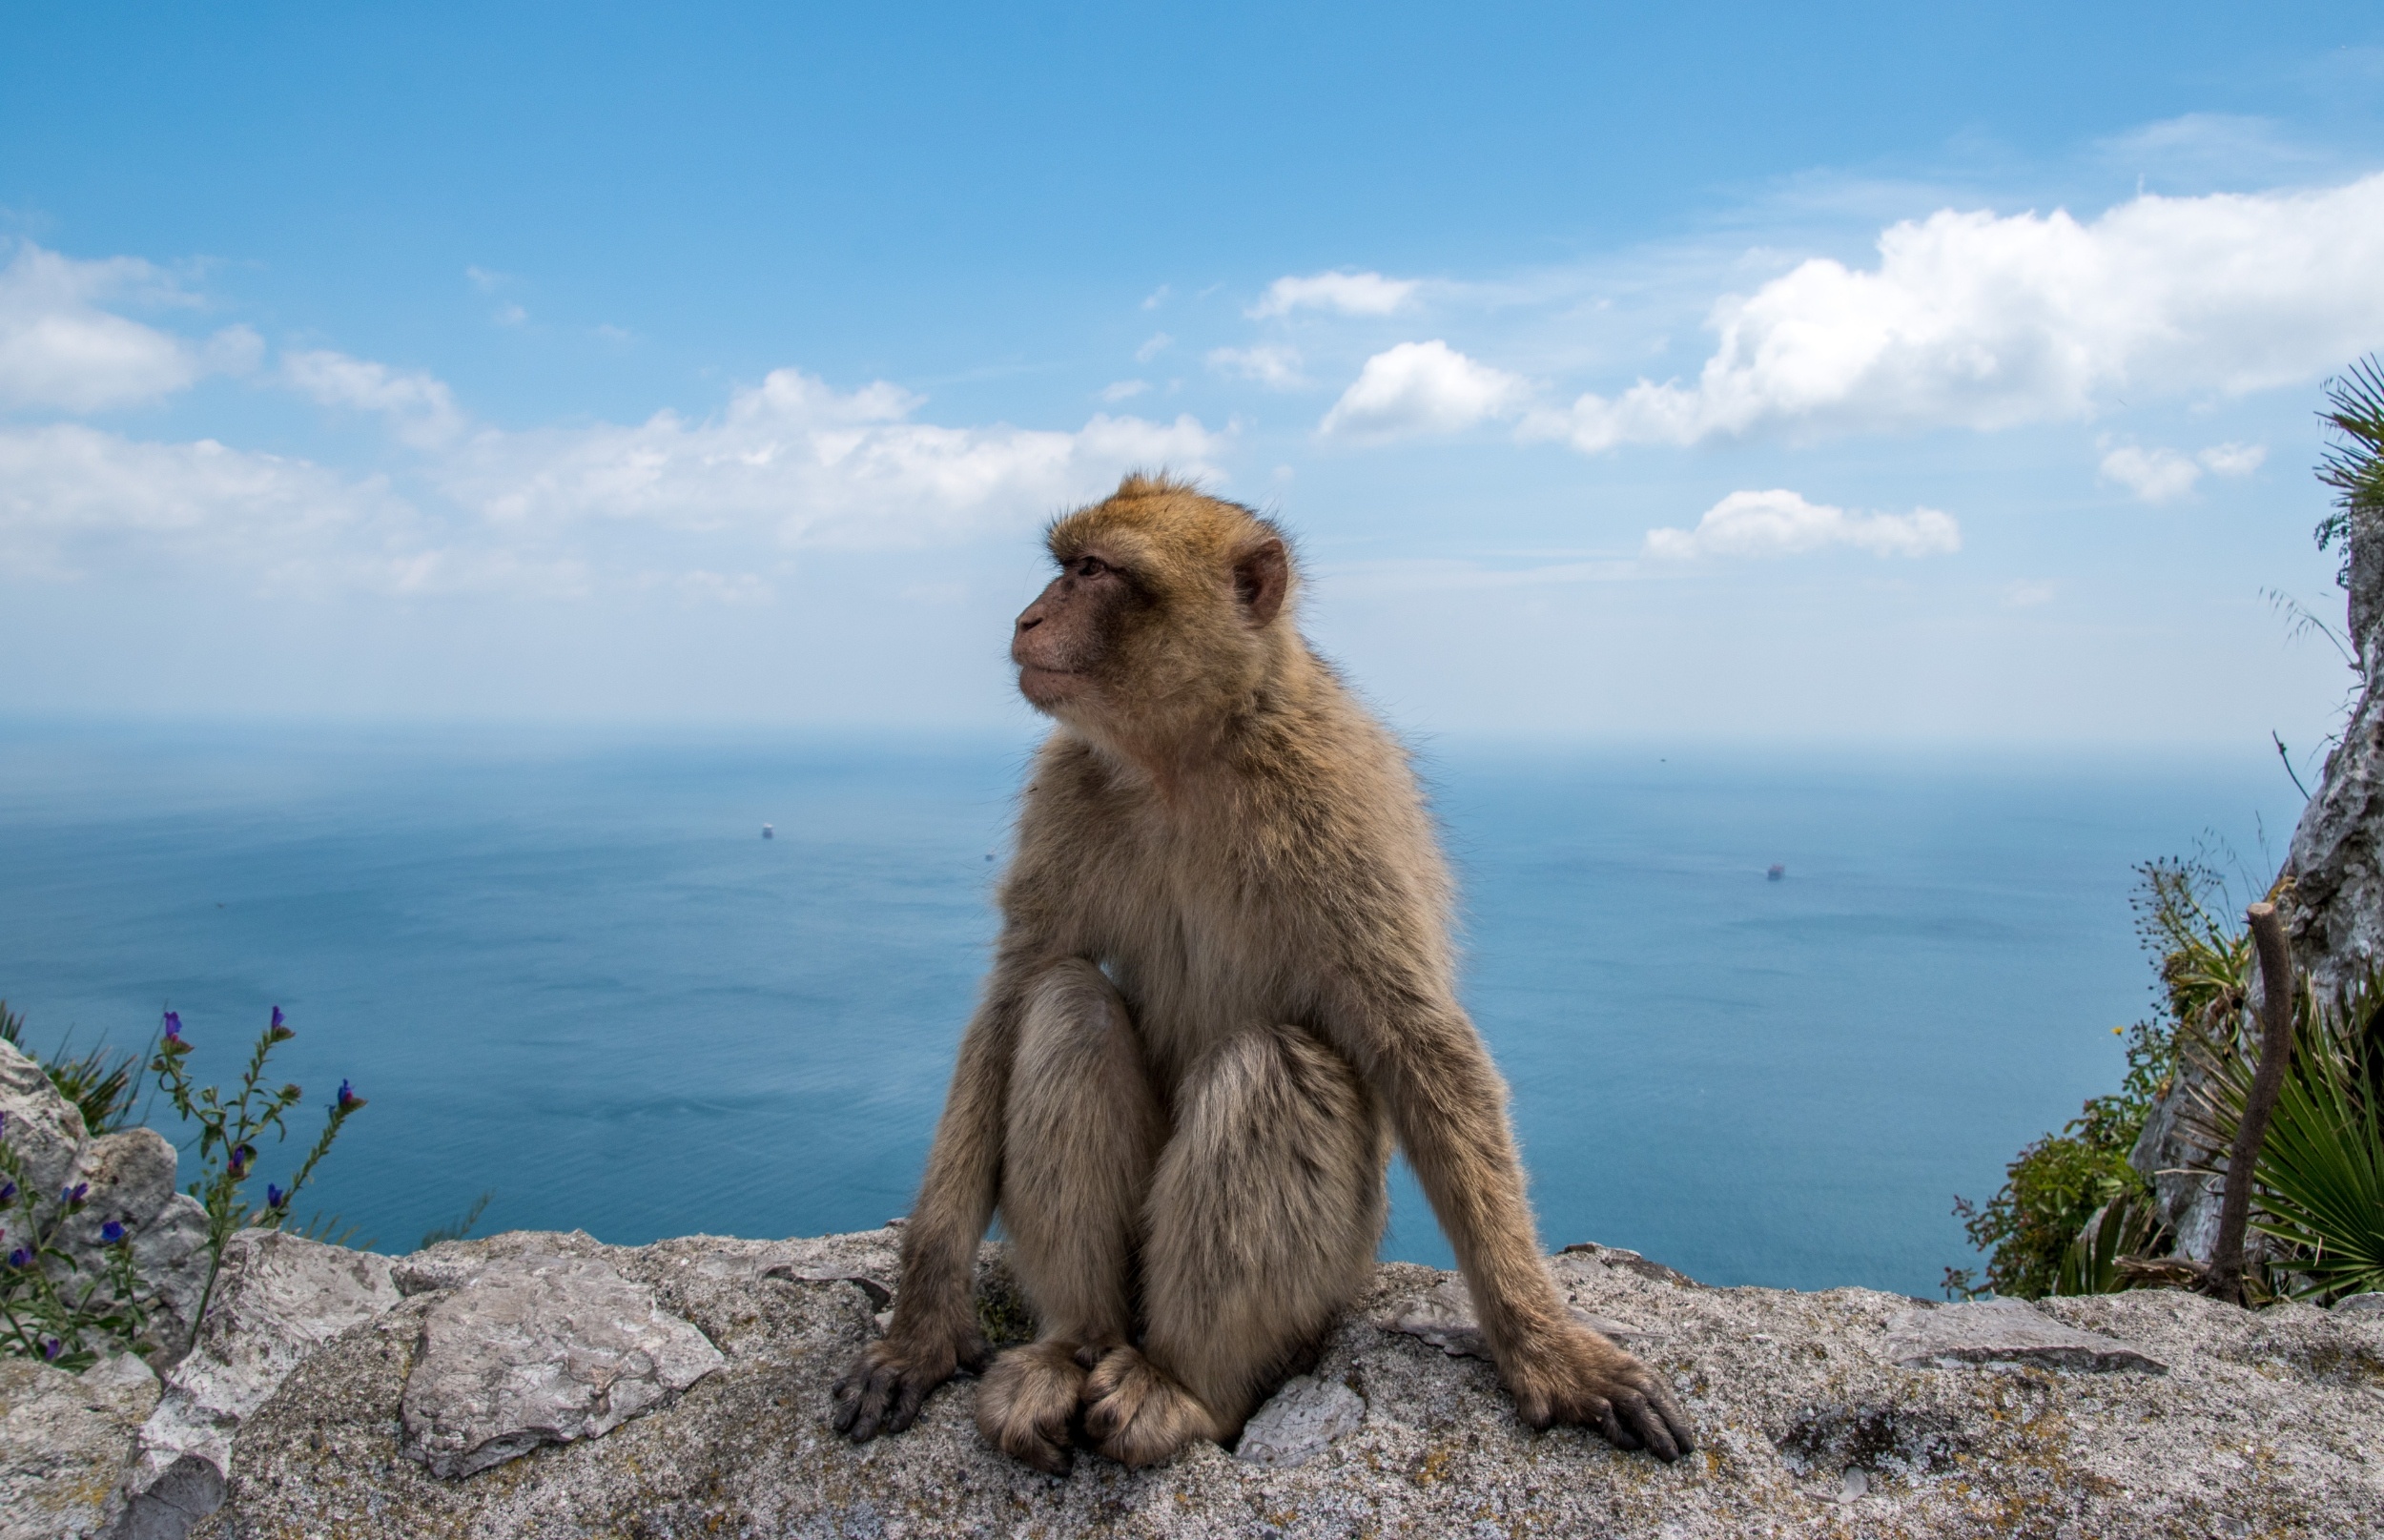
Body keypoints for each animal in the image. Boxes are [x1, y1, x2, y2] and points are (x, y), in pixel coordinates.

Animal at [830, 474, 1694, 1471]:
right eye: (1066, 567)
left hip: (1333, 1277)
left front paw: (1546, 1347)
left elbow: (1418, 1040)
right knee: (1070, 1006)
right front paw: (921, 1332)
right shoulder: (1065, 789)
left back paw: (1185, 1388)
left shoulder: (1335, 799)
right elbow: (1012, 1002)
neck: (1185, 757)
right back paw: (1074, 1348)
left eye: (1093, 572)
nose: (1028, 617)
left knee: (1277, 1063)